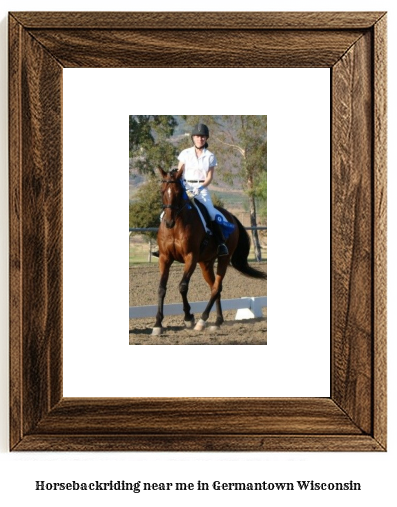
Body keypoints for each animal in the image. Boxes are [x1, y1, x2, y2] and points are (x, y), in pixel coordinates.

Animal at [152, 166, 266, 338]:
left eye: (179, 192)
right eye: (162, 191)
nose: (169, 222)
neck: (177, 225)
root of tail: (231, 216)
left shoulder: (190, 258)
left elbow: (182, 286)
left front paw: (188, 318)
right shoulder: (165, 258)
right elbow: (161, 289)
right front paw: (158, 324)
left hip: (223, 259)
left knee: (216, 288)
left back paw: (202, 320)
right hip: (205, 263)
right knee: (215, 287)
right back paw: (217, 321)